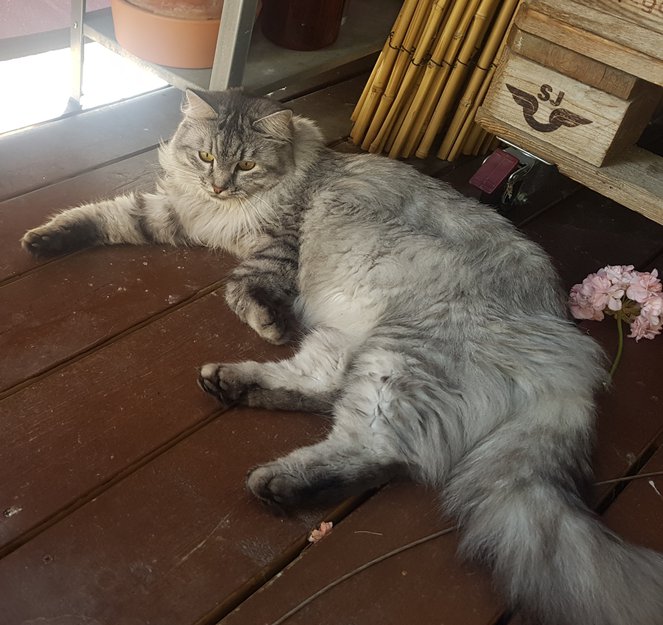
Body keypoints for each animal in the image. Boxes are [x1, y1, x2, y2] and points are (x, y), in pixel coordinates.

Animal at [22, 89, 663, 625]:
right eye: (205, 158)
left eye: (245, 166)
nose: (220, 186)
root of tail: (569, 351)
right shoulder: (175, 212)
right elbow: (108, 215)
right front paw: (45, 239)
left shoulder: (274, 249)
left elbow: (240, 287)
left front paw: (268, 322)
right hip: (354, 343)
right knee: (323, 391)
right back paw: (230, 386)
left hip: (399, 360)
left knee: (375, 450)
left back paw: (275, 482)